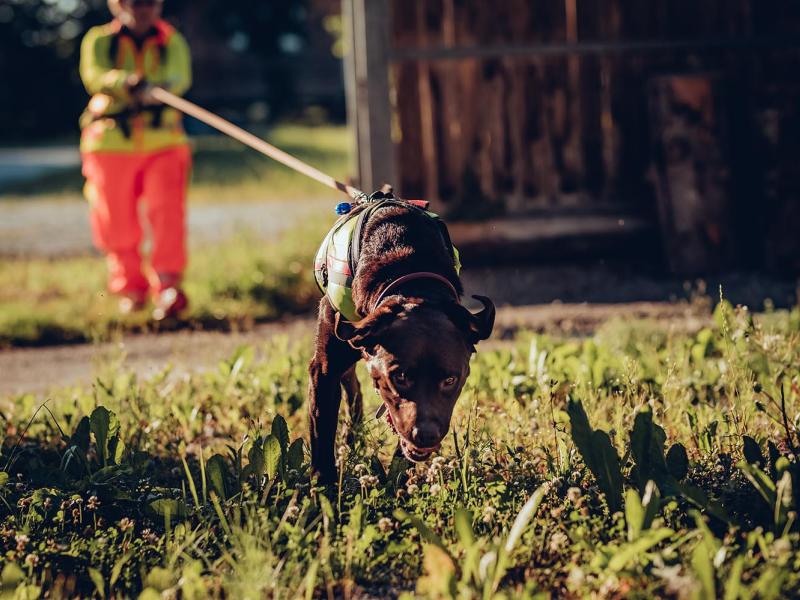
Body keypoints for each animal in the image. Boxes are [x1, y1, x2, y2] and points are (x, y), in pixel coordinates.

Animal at [306, 200, 494, 482]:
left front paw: (398, 481)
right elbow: (322, 432)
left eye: (450, 380)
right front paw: (323, 487)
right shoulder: (324, 371)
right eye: (400, 377)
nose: (426, 435)